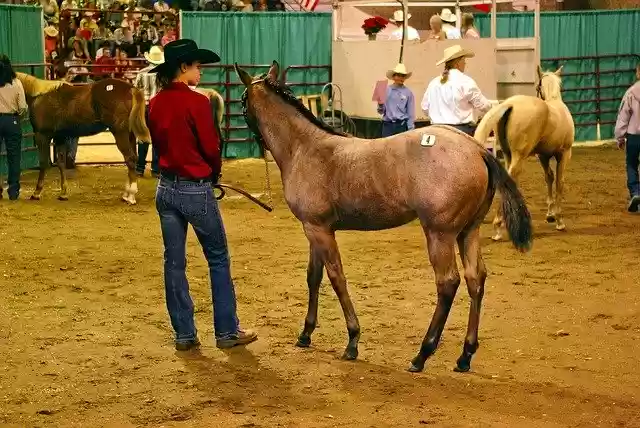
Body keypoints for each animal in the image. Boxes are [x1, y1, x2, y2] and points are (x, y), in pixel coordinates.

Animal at [15, 72, 150, 204]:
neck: (40, 95)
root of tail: (131, 88)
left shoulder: (42, 136)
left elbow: (43, 163)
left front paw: (36, 193)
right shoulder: (60, 137)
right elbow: (61, 164)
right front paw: (63, 193)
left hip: (120, 133)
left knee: (130, 159)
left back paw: (131, 196)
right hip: (130, 134)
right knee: (133, 159)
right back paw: (126, 195)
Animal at [235, 61, 533, 373]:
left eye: (242, 101)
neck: (306, 149)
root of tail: (476, 149)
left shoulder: (319, 230)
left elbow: (336, 277)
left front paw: (352, 341)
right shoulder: (314, 228)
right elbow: (313, 276)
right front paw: (305, 334)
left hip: (440, 234)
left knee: (448, 283)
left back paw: (422, 354)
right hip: (468, 232)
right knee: (476, 279)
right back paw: (465, 355)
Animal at [474, 66, 575, 241]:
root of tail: (510, 104)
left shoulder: (543, 156)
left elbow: (549, 177)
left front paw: (550, 214)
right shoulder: (564, 154)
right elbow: (559, 182)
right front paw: (559, 220)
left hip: (508, 155)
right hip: (519, 157)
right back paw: (498, 226)